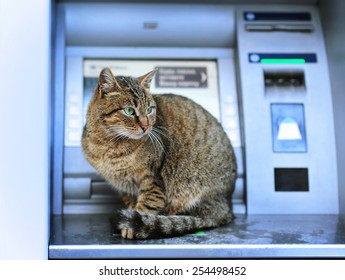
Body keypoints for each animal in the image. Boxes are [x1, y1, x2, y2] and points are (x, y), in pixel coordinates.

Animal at [81, 67, 236, 238]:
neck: (110, 145)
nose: (146, 126)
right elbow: (132, 204)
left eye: (149, 110)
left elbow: (147, 205)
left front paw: (132, 226)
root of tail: (227, 206)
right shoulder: (125, 187)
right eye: (129, 111)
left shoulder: (153, 178)